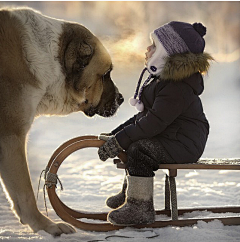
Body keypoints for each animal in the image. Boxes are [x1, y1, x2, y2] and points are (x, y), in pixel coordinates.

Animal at [0, 8, 124, 236]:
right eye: (105, 74)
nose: (120, 98)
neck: (53, 61)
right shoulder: (10, 136)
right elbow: (24, 192)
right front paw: (46, 226)